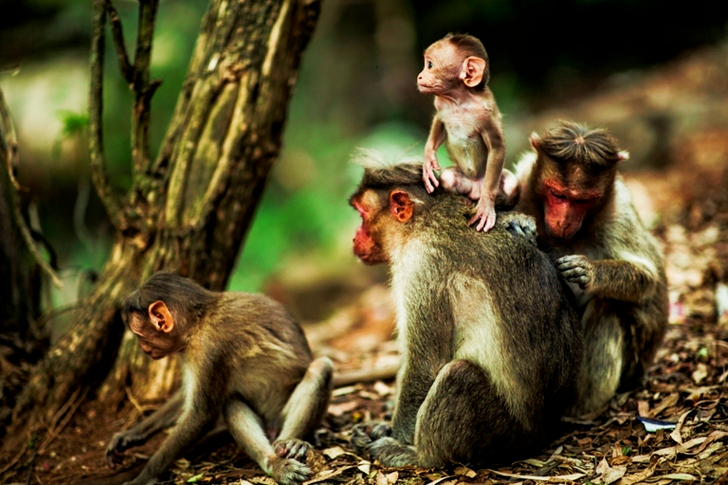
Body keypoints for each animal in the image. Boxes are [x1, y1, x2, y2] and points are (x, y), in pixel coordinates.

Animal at [105, 272, 333, 485]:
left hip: (279, 416)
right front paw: (132, 435)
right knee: (230, 402)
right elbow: (187, 399)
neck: (199, 321)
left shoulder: (209, 349)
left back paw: (287, 449)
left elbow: (200, 416)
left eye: (140, 335)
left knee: (320, 368)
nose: (143, 348)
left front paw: (144, 477)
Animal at [346, 153, 582, 468]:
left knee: (459, 374)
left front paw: (397, 437)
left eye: (362, 216)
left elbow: (425, 363)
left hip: (504, 435)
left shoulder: (422, 266)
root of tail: (544, 431)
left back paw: (421, 456)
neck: (426, 223)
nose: (354, 239)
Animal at [417, 33, 519, 232]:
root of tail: (475, 189)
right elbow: (439, 122)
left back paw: (498, 202)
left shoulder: (485, 114)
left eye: (430, 65)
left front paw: (486, 205)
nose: (419, 76)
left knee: (511, 184)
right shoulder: (440, 104)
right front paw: (428, 161)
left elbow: (497, 147)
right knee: (448, 178)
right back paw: (466, 200)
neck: (459, 101)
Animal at [513, 121, 669, 416]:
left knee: (608, 306)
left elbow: (647, 279)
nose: (564, 221)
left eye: (583, 201)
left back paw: (582, 410)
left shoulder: (619, 213)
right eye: (557, 194)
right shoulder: (523, 179)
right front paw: (518, 220)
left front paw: (589, 272)